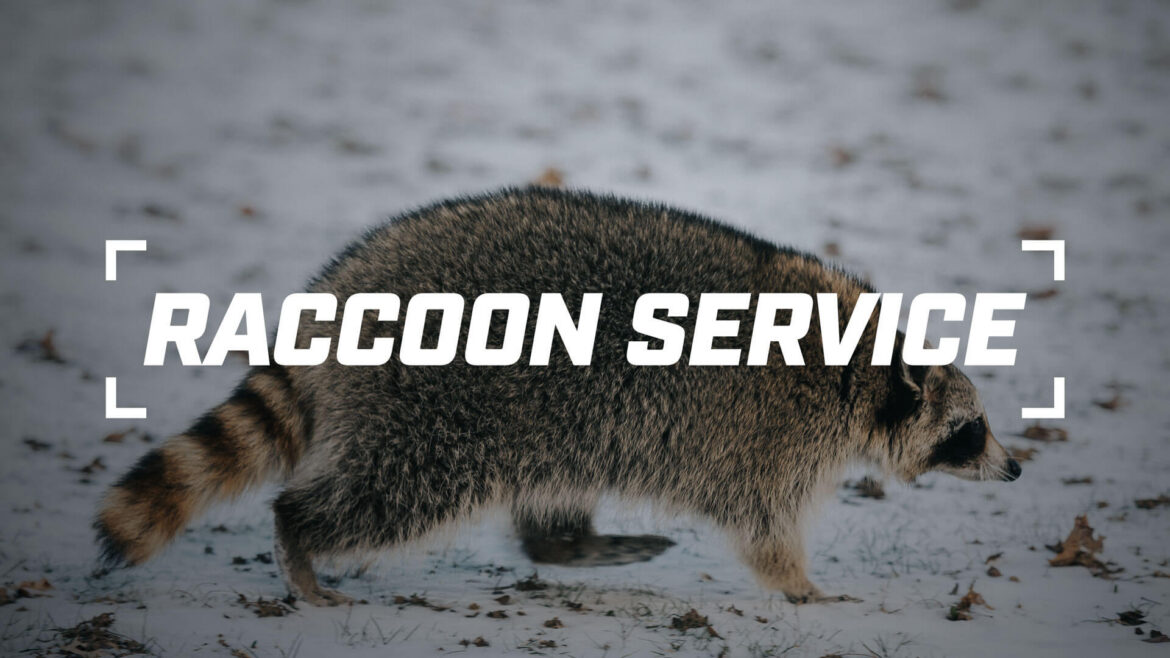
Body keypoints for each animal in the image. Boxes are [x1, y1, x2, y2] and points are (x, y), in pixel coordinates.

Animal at [95, 187, 1020, 605]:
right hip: (439, 412)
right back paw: (301, 537)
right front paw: (803, 589)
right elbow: (763, 527)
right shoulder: (765, 439)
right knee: (387, 493)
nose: (1014, 470)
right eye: (969, 431)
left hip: (555, 421)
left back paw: (570, 545)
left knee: (551, 485)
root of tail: (344, 288)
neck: (862, 369)